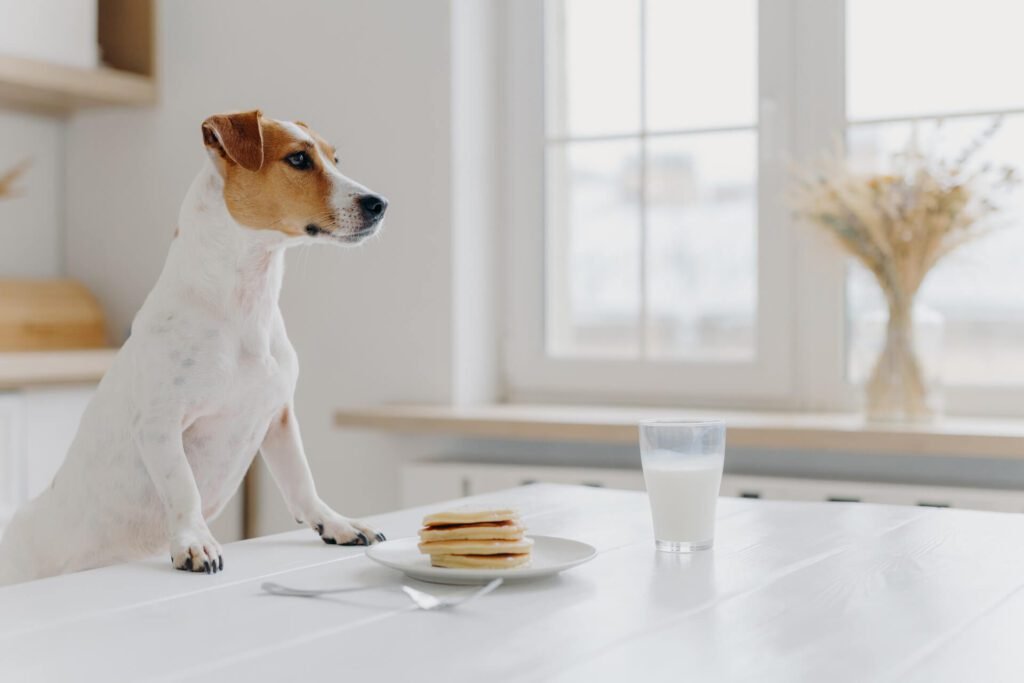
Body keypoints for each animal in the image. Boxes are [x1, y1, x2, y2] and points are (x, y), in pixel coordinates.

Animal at [0, 109, 387, 585]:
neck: (244, 305)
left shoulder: (278, 417)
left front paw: (335, 523)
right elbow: (183, 487)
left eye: (335, 158)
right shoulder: (160, 425)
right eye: (298, 159)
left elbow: (301, 479)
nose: (379, 203)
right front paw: (193, 542)